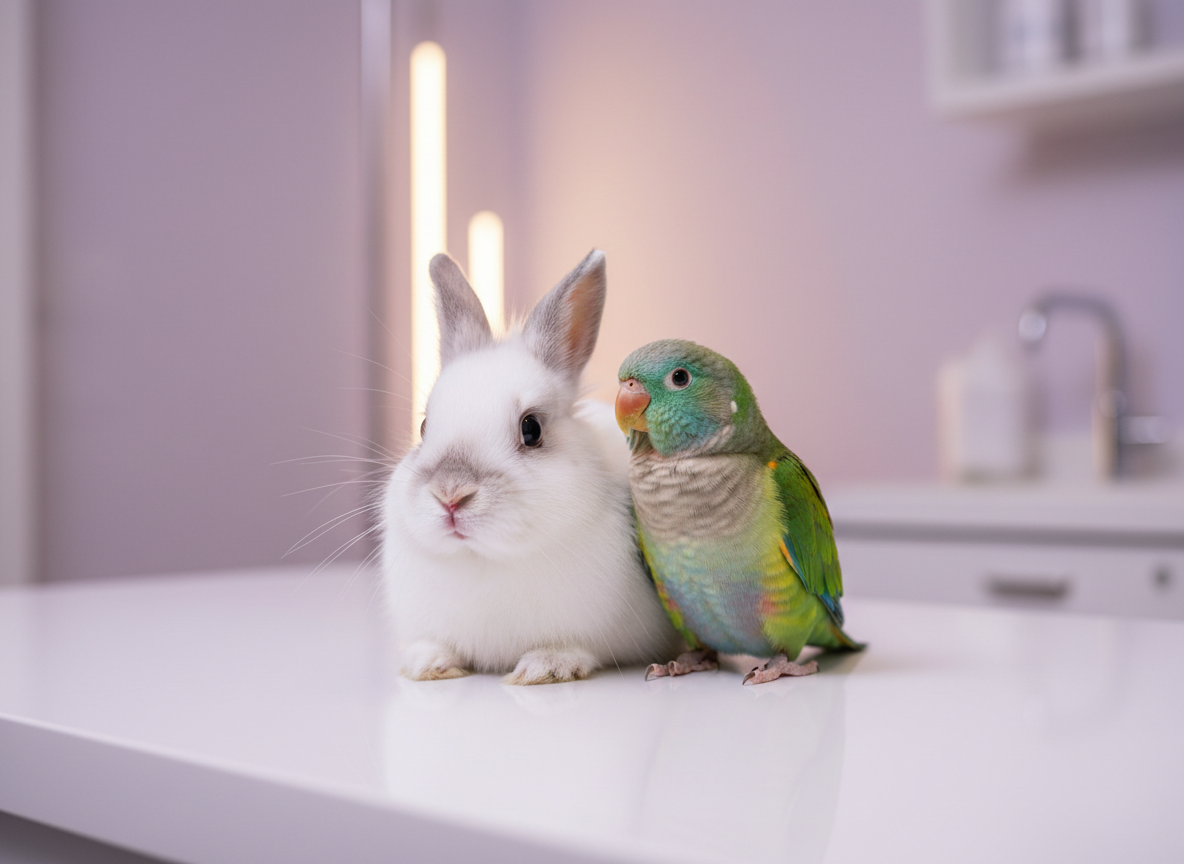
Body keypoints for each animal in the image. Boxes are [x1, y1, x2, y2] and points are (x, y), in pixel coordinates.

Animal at [381, 249, 680, 685]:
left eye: (531, 429)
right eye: (423, 427)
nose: (450, 496)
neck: (484, 559)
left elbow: (571, 648)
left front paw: (545, 667)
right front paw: (428, 664)